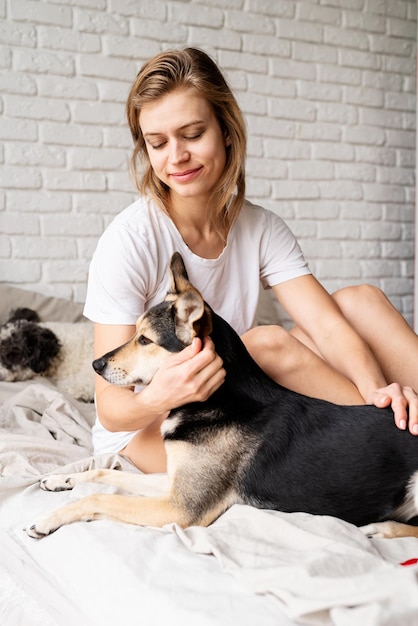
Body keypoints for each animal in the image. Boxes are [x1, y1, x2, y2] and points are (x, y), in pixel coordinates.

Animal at [26, 252, 418, 536]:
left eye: (145, 340)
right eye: (135, 333)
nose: (95, 364)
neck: (216, 401)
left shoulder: (181, 507)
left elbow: (99, 498)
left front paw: (48, 518)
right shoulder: (175, 484)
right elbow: (105, 475)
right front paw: (61, 479)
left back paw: (382, 528)